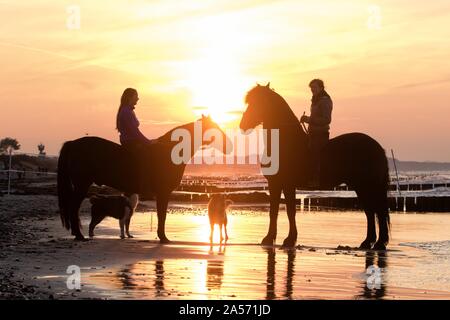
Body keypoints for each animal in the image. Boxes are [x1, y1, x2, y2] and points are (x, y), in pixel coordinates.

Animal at [57, 116, 230, 241]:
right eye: (214, 128)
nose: (229, 145)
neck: (169, 152)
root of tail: (72, 144)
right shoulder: (163, 193)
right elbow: (162, 215)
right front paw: (163, 238)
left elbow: (161, 215)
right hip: (82, 184)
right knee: (73, 207)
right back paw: (80, 236)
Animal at [239, 84, 390, 251]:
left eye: (256, 103)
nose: (242, 124)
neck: (285, 143)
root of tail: (378, 147)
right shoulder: (275, 184)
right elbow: (274, 211)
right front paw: (269, 238)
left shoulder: (288, 184)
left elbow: (290, 211)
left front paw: (289, 240)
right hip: (362, 186)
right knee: (371, 211)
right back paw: (368, 242)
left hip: (367, 185)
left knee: (377, 210)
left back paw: (378, 243)